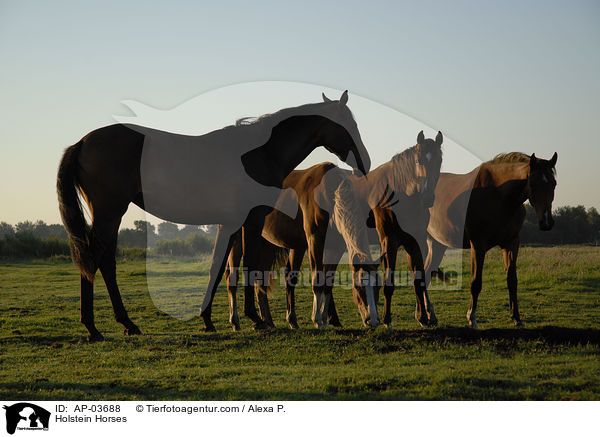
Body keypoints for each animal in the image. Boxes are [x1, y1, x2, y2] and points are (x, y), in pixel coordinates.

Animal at [223, 162, 382, 328]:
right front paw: (317, 319)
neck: (330, 194)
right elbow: (318, 280)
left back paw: (267, 322)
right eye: (358, 287)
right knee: (232, 277)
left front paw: (323, 318)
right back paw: (235, 321)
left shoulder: (335, 248)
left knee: (260, 281)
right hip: (239, 240)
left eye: (378, 286)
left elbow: (328, 282)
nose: (373, 320)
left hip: (265, 244)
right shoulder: (315, 241)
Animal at [424, 153, 560, 328]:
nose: (547, 222)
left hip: (437, 244)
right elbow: (476, 282)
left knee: (425, 273)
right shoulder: (478, 246)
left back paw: (429, 316)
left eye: (554, 183)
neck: (498, 195)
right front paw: (472, 318)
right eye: (533, 183)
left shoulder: (511, 244)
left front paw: (516, 318)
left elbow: (512, 280)